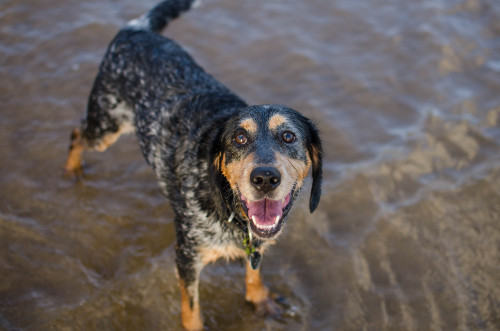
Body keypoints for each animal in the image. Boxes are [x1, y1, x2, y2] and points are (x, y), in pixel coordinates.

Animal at [64, 1, 322, 330]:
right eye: (239, 138)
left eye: (288, 136)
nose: (265, 178)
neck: (230, 210)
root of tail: (135, 31)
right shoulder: (187, 257)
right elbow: (192, 310)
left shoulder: (256, 241)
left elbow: (254, 271)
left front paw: (259, 298)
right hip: (105, 126)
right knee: (76, 135)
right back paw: (72, 169)